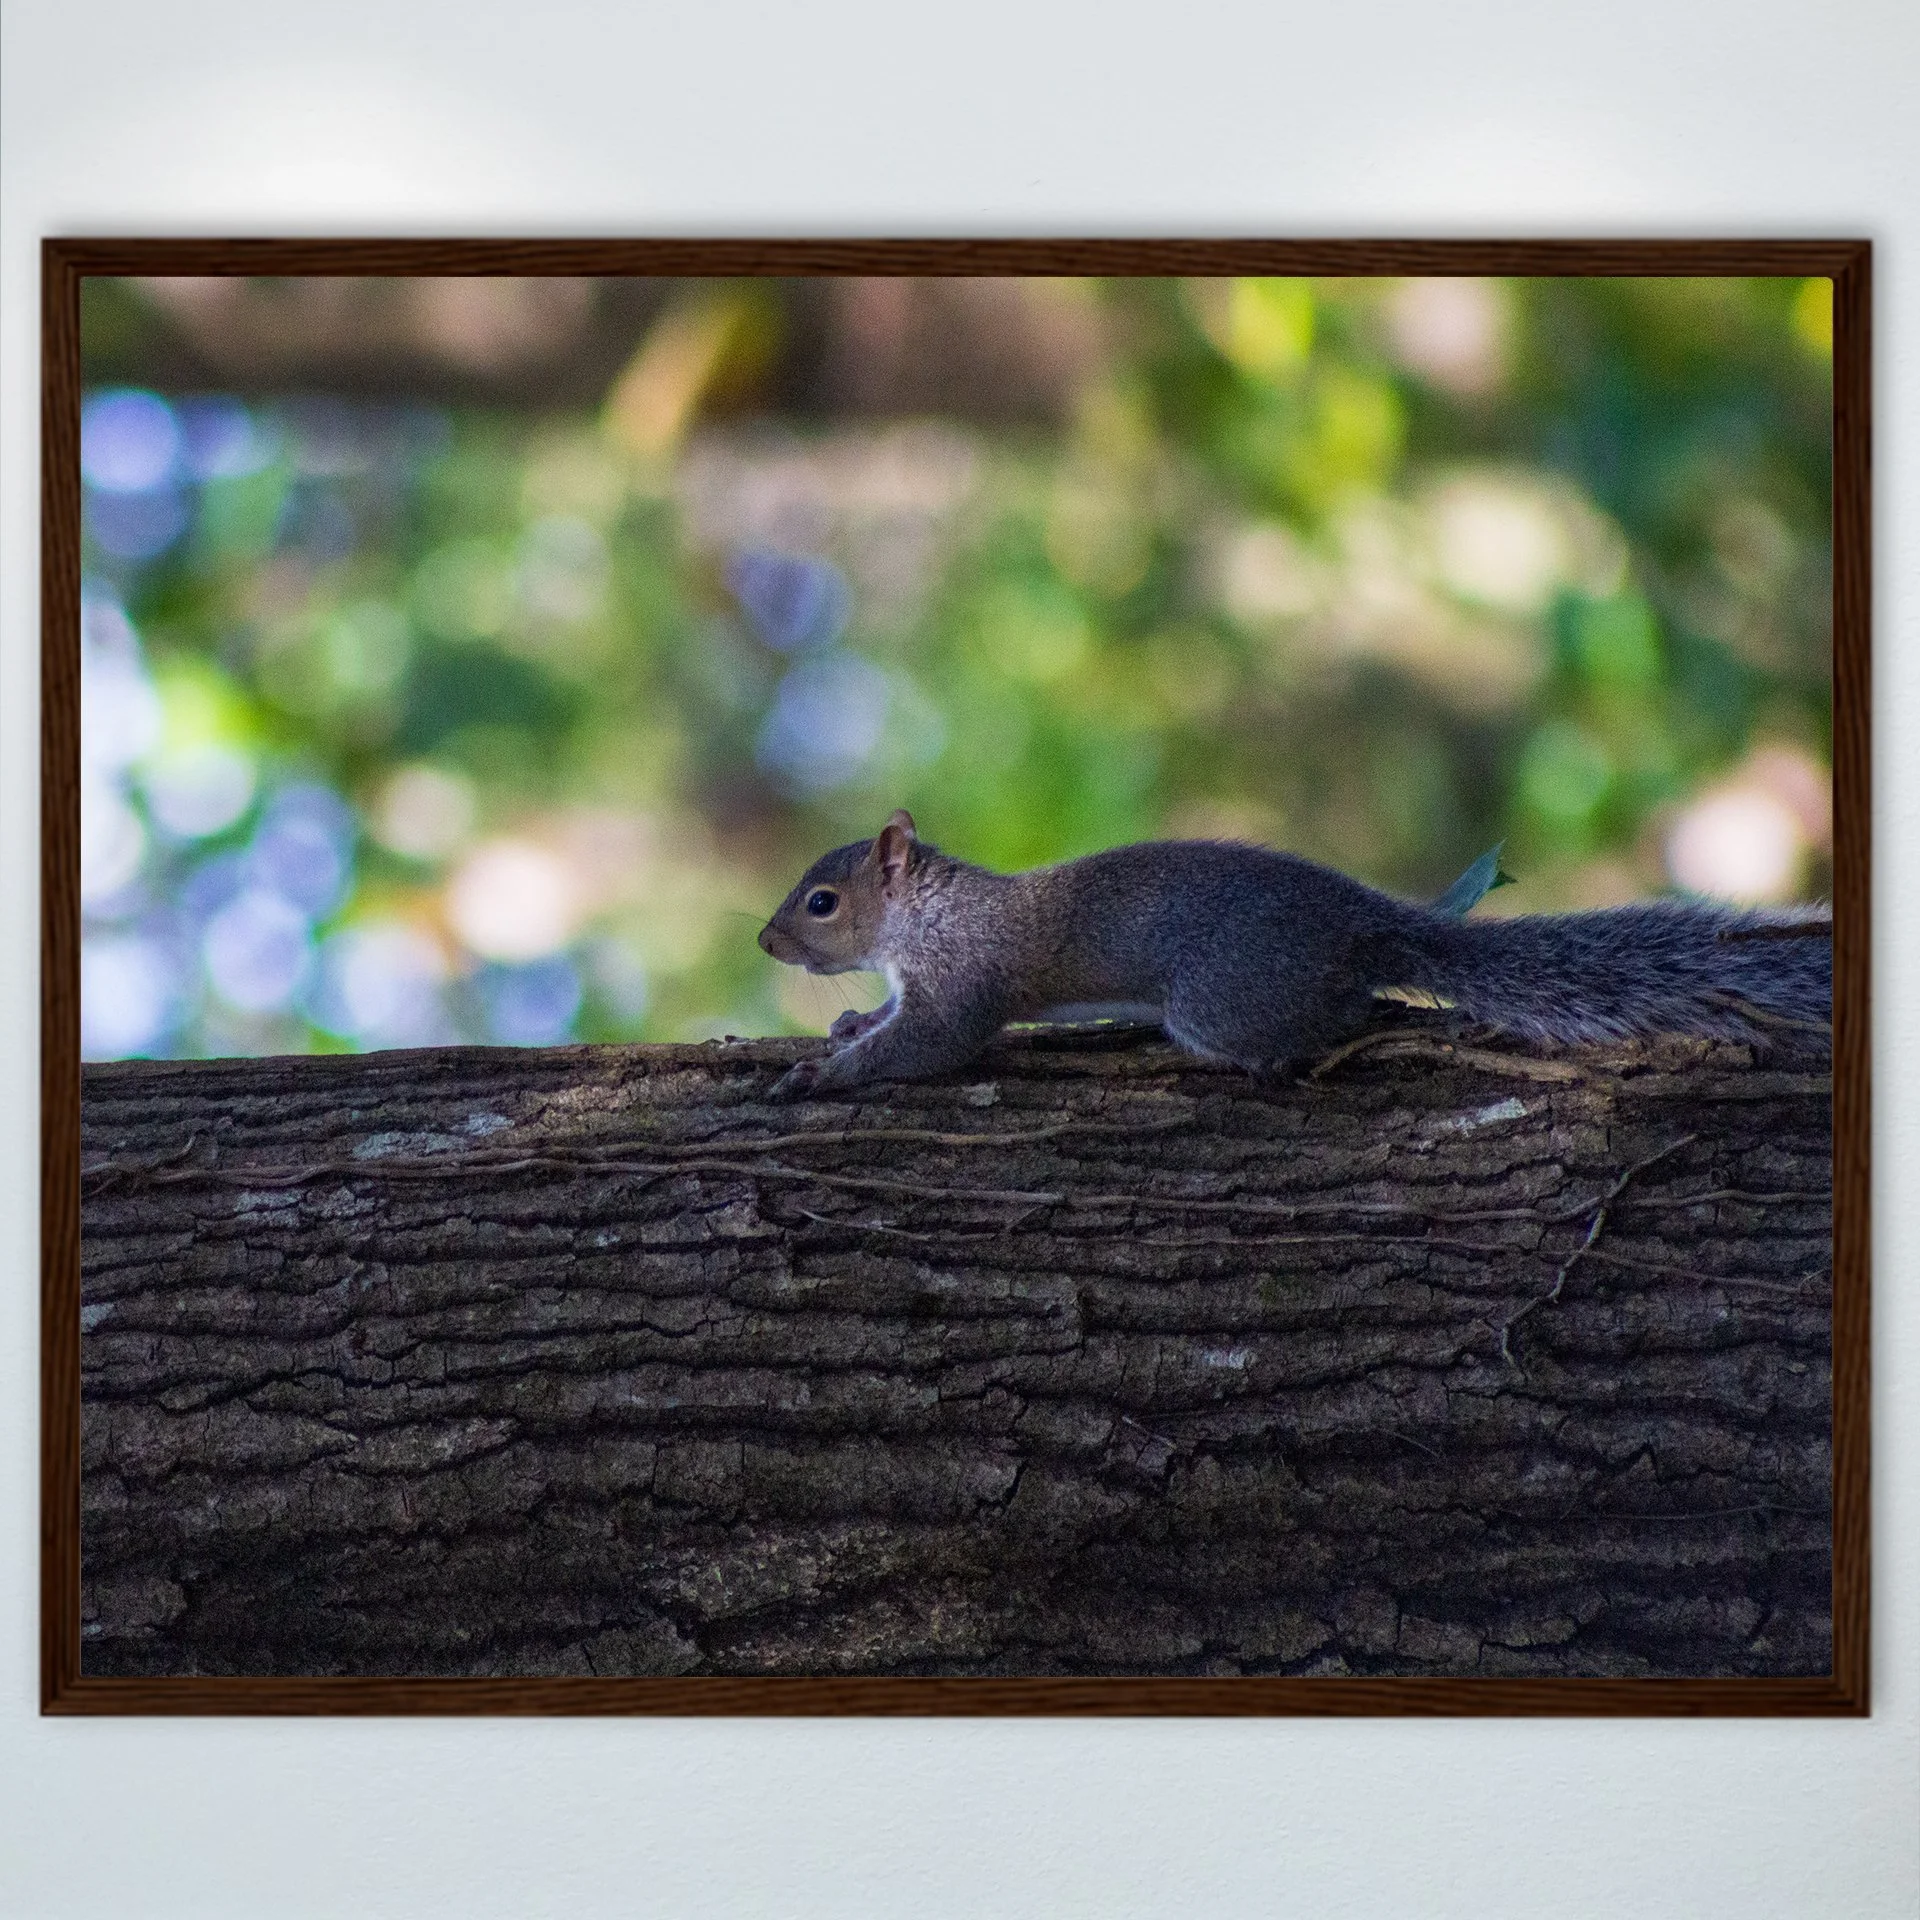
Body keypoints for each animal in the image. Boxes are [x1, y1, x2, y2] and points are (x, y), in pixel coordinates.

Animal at [757, 809, 1832, 1100]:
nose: (764, 940)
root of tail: (1366, 923)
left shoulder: (966, 981)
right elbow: (892, 1019)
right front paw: (850, 1022)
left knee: (1344, 1016)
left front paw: (826, 1072)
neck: (922, 920)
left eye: (822, 902)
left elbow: (931, 1044)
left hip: (1221, 1001)